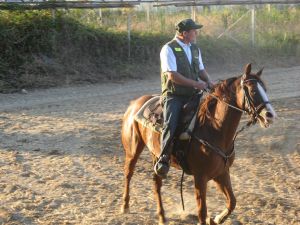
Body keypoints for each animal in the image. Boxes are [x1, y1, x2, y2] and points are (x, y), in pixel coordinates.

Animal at [119, 63, 276, 225]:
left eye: (265, 89)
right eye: (253, 90)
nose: (270, 115)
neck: (213, 128)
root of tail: (135, 104)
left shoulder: (221, 172)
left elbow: (232, 201)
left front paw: (217, 218)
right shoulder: (200, 177)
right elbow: (202, 211)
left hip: (157, 156)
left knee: (157, 182)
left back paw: (162, 216)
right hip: (132, 150)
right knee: (128, 173)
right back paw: (125, 206)